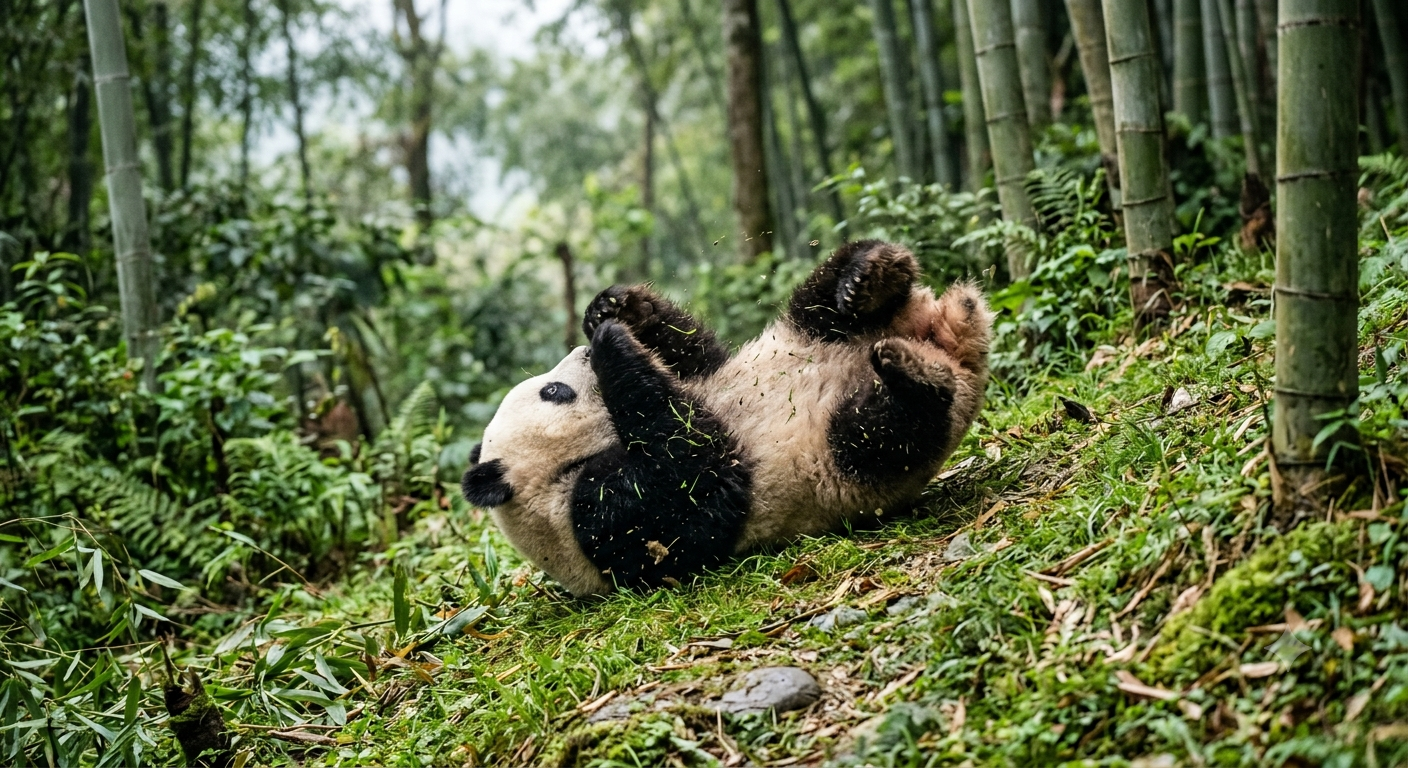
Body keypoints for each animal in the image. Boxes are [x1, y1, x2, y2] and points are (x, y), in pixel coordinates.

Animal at [462, 240, 992, 596]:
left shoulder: (706, 376)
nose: (581, 351)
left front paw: (610, 310)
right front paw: (612, 346)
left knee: (821, 303)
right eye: (553, 391)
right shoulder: (599, 523)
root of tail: (948, 334)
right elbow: (696, 477)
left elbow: (696, 354)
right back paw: (915, 374)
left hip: (807, 331)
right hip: (839, 459)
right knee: (883, 433)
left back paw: (868, 276)